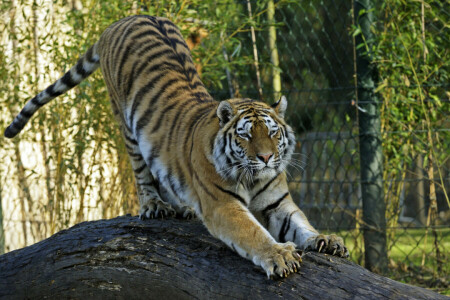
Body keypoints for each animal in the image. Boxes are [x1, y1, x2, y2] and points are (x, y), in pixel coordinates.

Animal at [4, 15, 348, 278]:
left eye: (273, 133)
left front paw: (326, 240)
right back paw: (155, 206)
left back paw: (182, 207)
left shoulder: (278, 203)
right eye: (247, 135)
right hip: (125, 123)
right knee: (142, 174)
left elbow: (302, 225)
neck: (254, 177)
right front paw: (279, 255)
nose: (266, 157)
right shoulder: (223, 205)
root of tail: (121, 20)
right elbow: (252, 233)